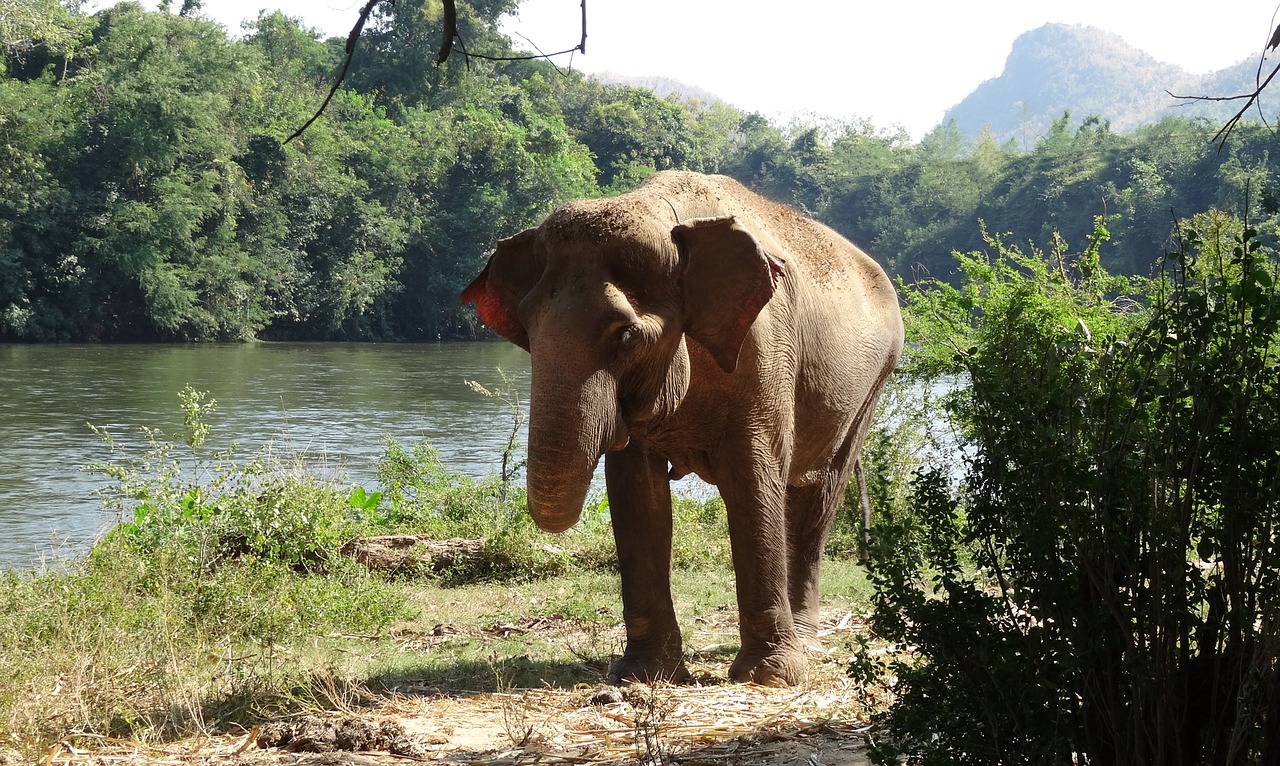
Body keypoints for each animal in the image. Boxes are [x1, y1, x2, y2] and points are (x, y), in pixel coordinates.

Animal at [460, 171, 901, 686]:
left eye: (625, 336)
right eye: (527, 330)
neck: (658, 212)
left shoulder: (766, 351)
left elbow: (753, 478)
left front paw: (769, 678)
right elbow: (636, 492)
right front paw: (644, 674)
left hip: (872, 382)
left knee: (819, 497)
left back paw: (807, 643)